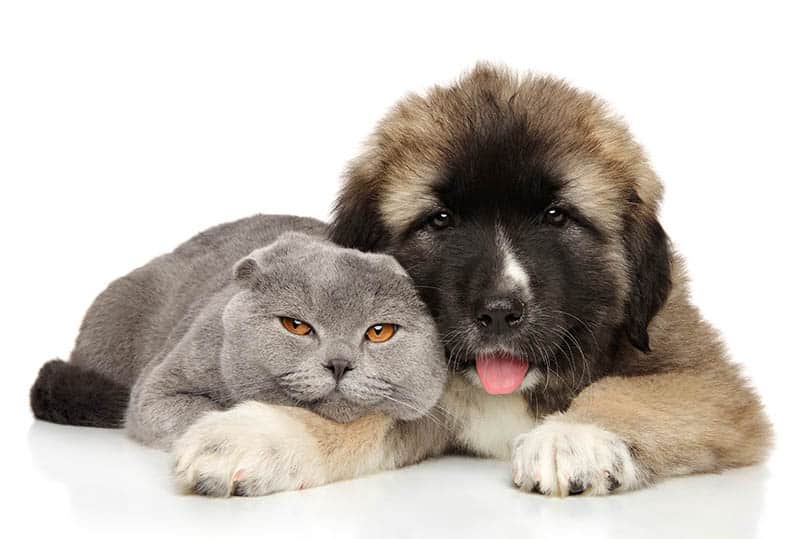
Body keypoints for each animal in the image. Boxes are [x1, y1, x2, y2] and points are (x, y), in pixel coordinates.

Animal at [173, 64, 768, 498]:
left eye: (556, 216)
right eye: (440, 220)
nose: (500, 312)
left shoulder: (713, 383)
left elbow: (631, 393)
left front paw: (573, 436)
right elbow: (364, 411)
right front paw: (259, 434)